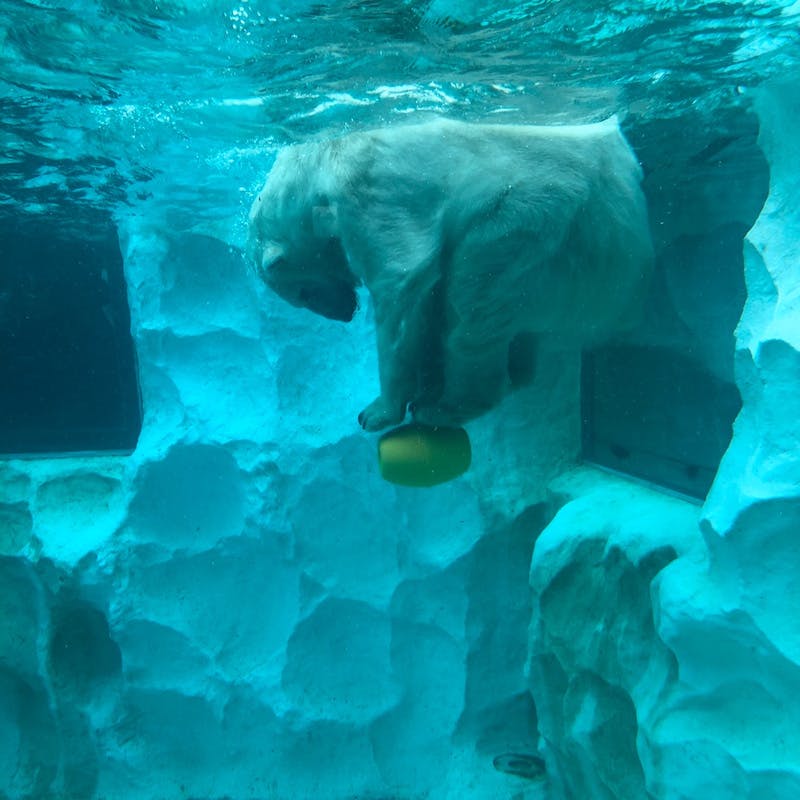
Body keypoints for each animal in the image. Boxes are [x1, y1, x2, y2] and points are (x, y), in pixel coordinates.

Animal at [252, 118, 656, 432]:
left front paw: (379, 411)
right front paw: (422, 384)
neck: (319, 164)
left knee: (475, 300)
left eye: (301, 293)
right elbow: (423, 301)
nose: (344, 313)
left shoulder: (366, 191)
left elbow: (402, 281)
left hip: (530, 218)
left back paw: (446, 408)